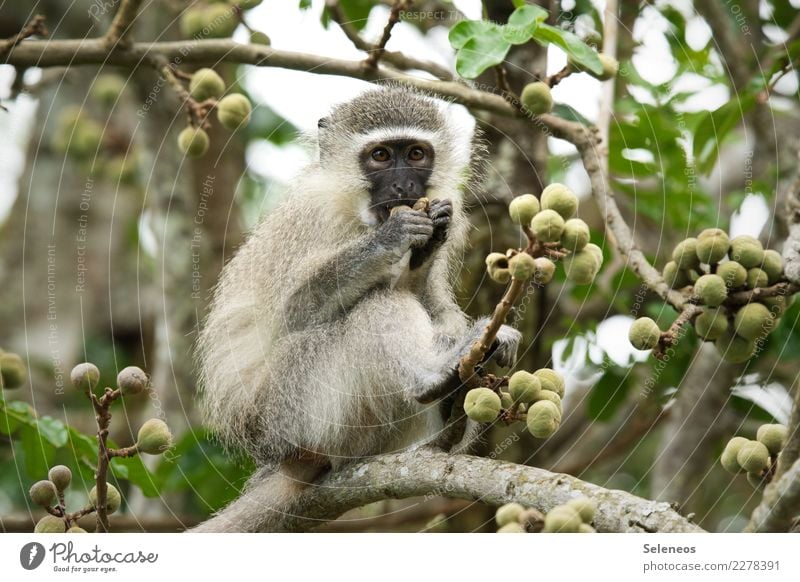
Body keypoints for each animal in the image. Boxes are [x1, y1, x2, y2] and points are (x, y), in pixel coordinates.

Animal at [193, 86, 520, 532]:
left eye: (416, 153)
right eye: (380, 155)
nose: (403, 183)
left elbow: (438, 307)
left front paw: (426, 252)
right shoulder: (312, 214)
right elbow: (292, 314)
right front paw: (392, 238)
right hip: (292, 404)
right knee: (377, 303)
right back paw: (433, 377)